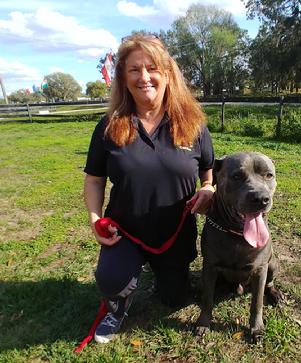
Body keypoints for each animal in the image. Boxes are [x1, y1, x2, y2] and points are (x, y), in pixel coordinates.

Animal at [196, 151, 282, 344]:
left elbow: (257, 303)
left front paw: (256, 329)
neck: (237, 233)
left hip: (272, 264)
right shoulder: (209, 267)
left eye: (269, 175)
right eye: (237, 176)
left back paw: (276, 295)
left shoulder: (260, 269)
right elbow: (207, 298)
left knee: (269, 283)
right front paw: (203, 322)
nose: (261, 198)